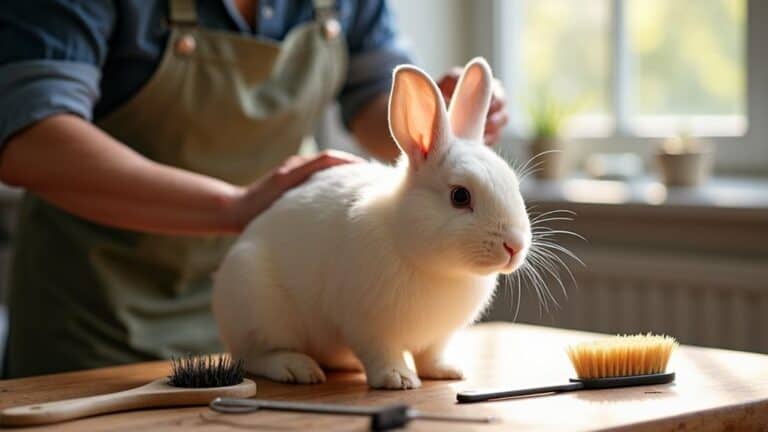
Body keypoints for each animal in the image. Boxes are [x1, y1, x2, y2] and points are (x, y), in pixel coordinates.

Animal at [212, 57, 531, 390]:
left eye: (512, 183)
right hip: (257, 305)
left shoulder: (437, 337)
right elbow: (381, 353)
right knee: (255, 356)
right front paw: (398, 379)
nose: (515, 246)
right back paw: (296, 368)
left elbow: (430, 355)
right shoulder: (368, 325)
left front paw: (447, 372)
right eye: (460, 196)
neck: (436, 268)